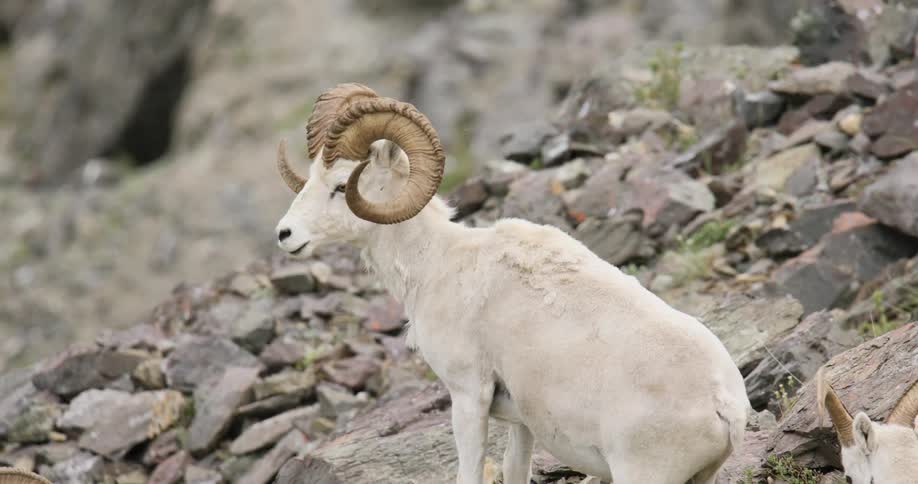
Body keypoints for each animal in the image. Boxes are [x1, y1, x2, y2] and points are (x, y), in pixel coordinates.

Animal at [273, 83, 750, 484]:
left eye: (340, 185)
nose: (285, 235)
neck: (439, 262)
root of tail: (723, 405)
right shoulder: (522, 422)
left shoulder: (469, 397)